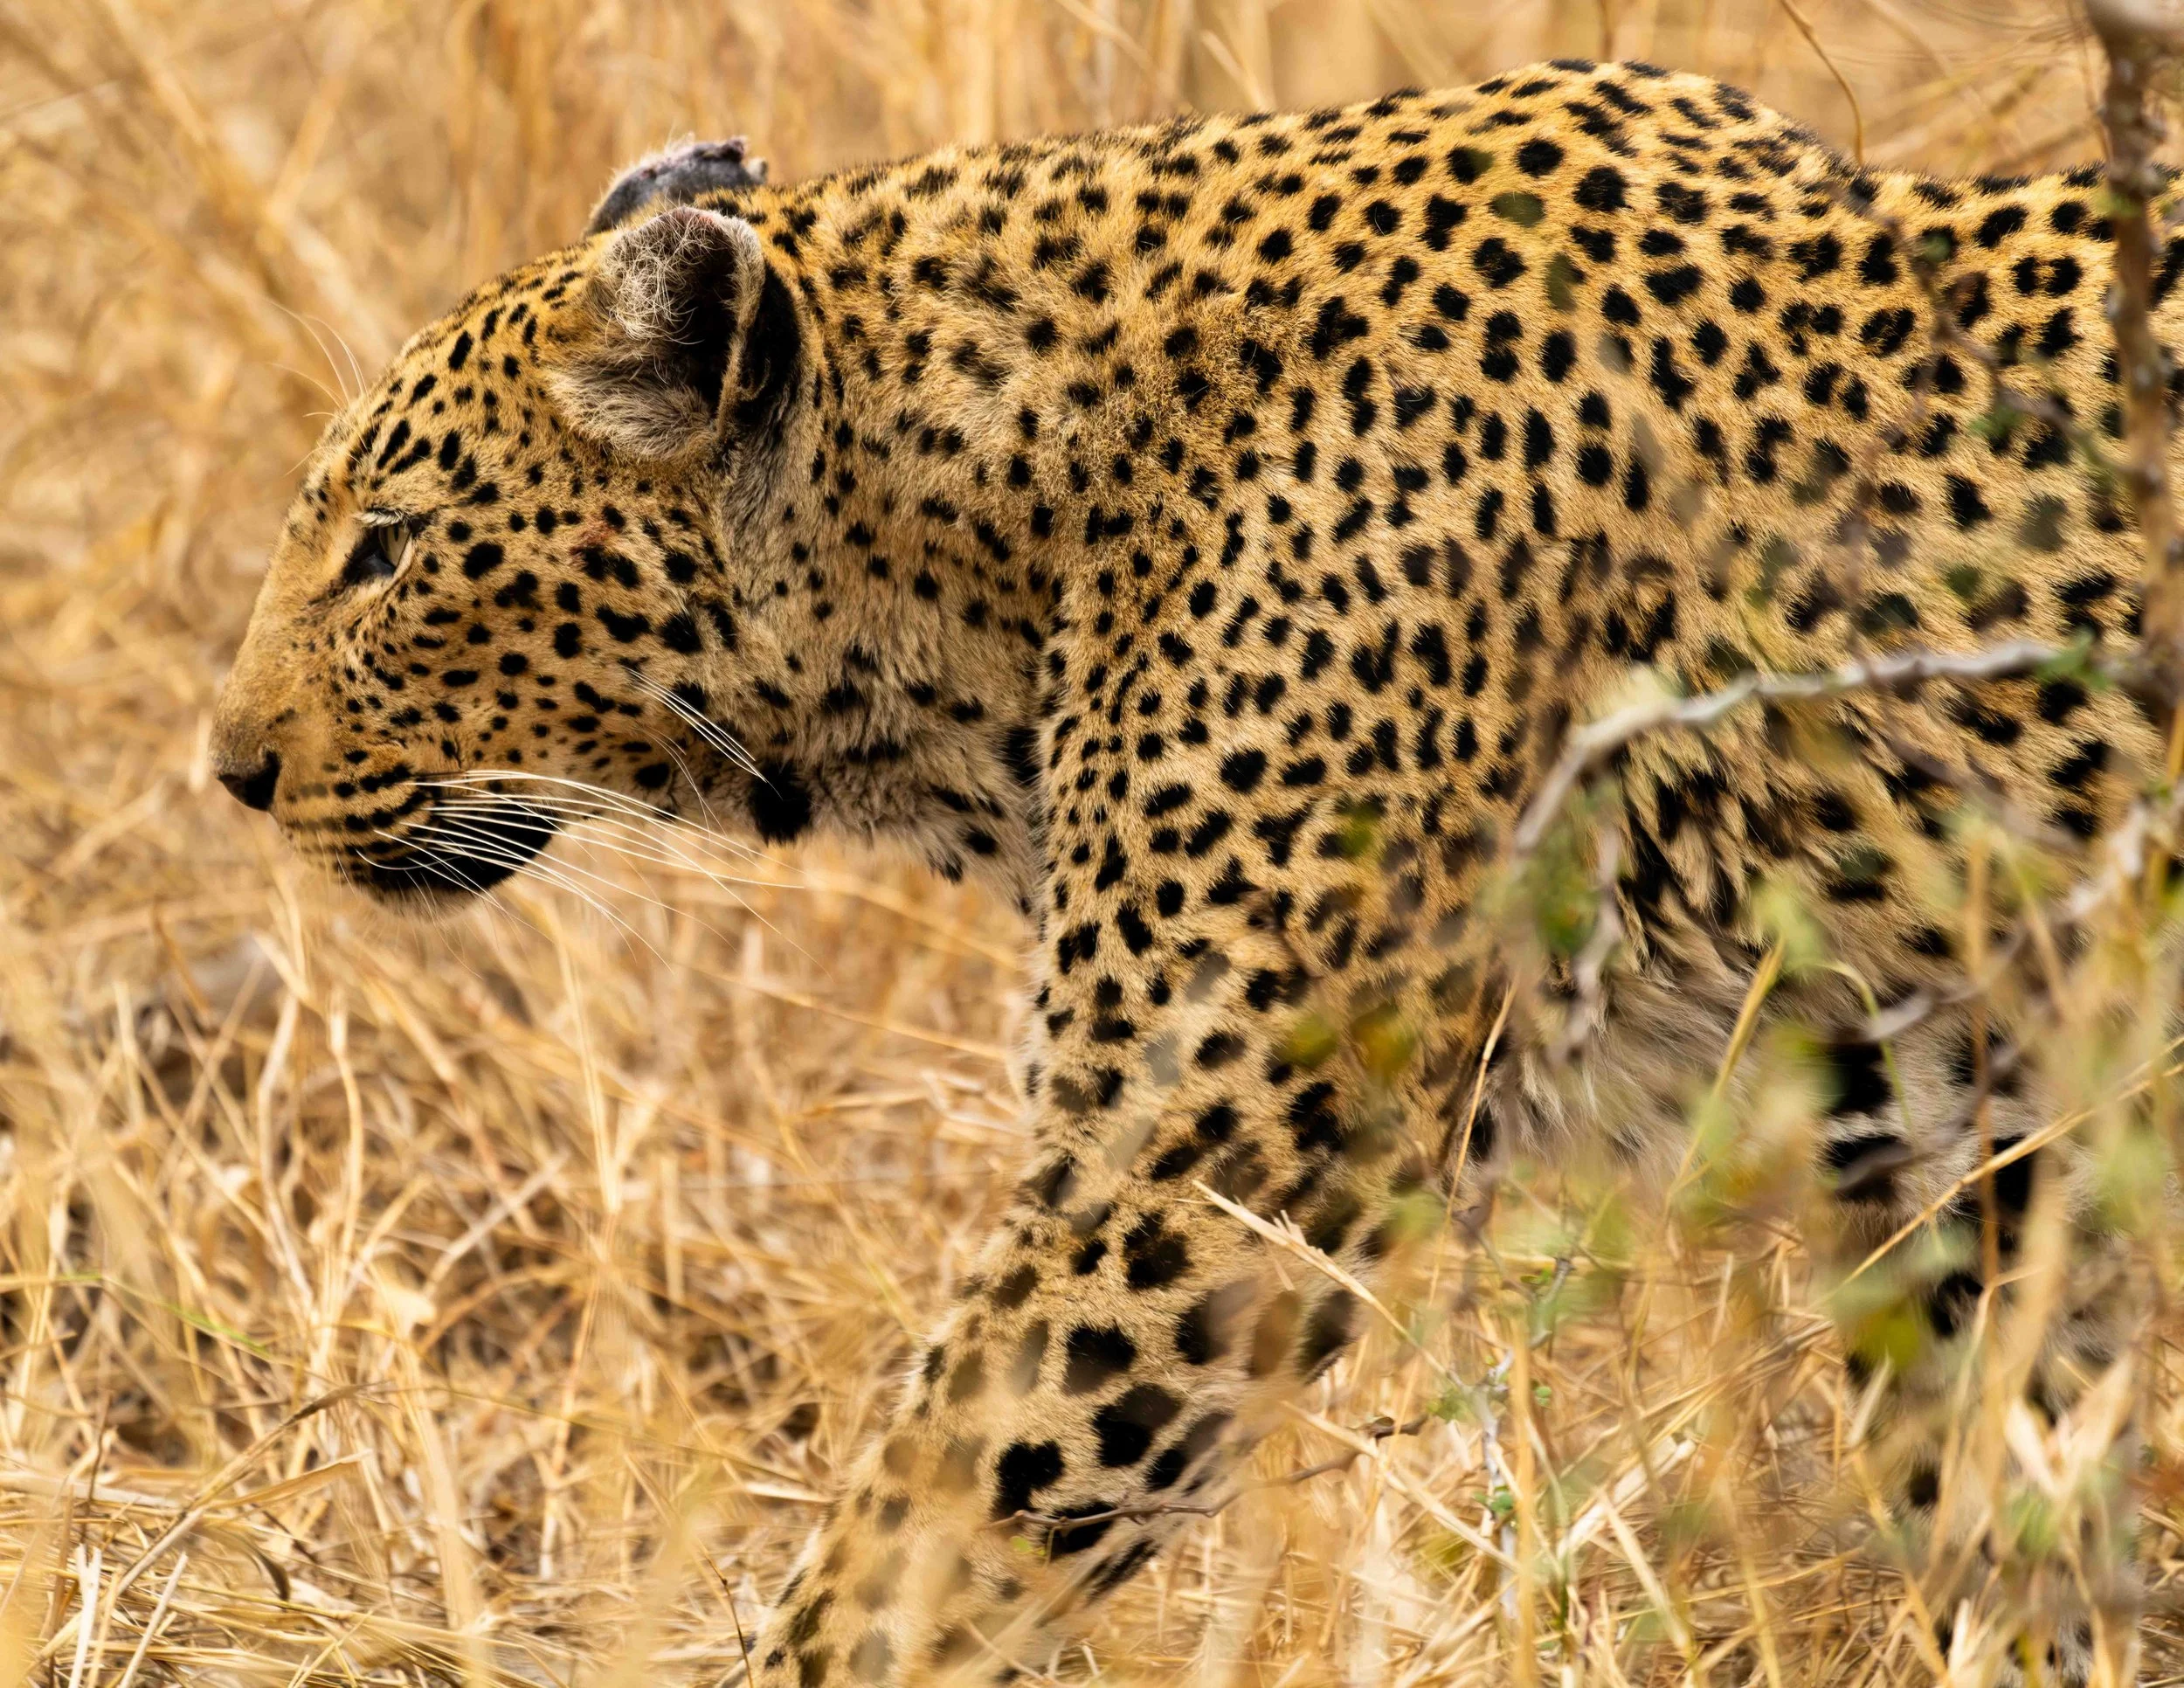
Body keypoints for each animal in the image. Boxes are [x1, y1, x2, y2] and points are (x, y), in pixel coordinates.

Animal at [209, 58, 2177, 1684]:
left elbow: (913, 1547)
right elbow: (2007, 1500)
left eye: (389, 548)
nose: (231, 771)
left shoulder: (1197, 1165)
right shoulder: (1948, 1128)